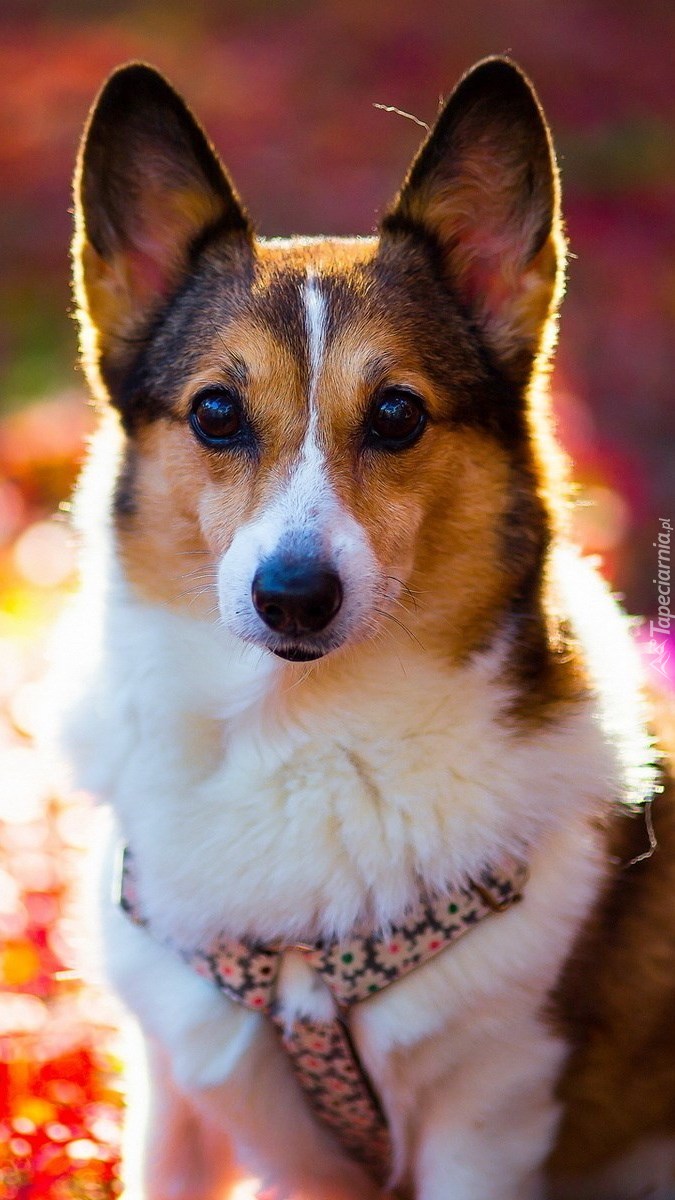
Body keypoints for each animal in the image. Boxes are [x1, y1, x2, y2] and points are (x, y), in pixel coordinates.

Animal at [57, 51, 672, 1195]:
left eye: (397, 415)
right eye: (215, 413)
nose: (294, 595)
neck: (297, 738)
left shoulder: (490, 1115)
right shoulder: (173, 1097)